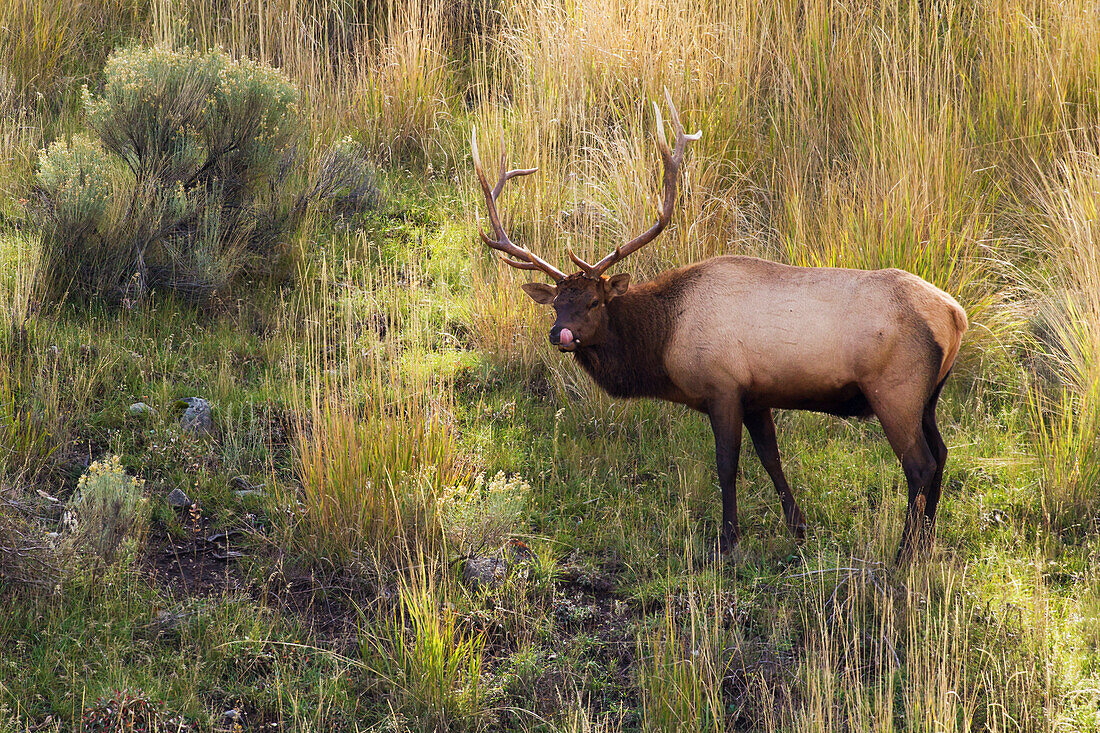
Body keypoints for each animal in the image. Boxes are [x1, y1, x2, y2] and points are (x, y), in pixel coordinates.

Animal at [468, 91, 968, 559]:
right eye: (556, 304)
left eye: (593, 301)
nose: (560, 334)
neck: (664, 343)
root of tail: (954, 314)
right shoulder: (757, 394)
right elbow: (771, 458)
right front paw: (798, 528)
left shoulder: (722, 385)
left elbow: (727, 465)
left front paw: (727, 540)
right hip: (928, 394)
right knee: (942, 454)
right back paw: (927, 542)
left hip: (895, 388)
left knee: (920, 465)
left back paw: (904, 554)